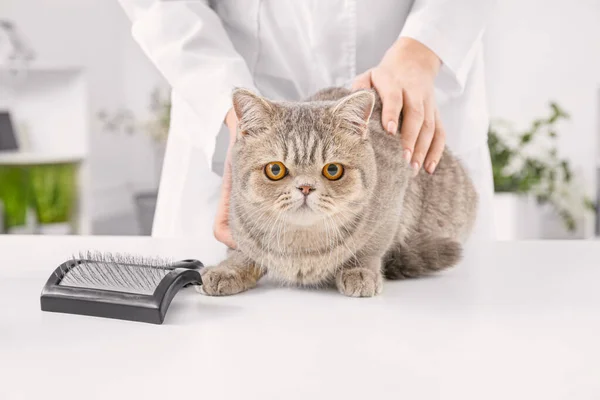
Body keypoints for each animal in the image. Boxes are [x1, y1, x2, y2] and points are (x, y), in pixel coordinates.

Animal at [202, 86, 478, 296]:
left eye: (332, 170)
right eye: (275, 169)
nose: (305, 187)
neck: (302, 247)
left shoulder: (392, 206)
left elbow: (371, 247)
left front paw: (360, 270)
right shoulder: (237, 222)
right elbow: (242, 251)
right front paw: (227, 269)